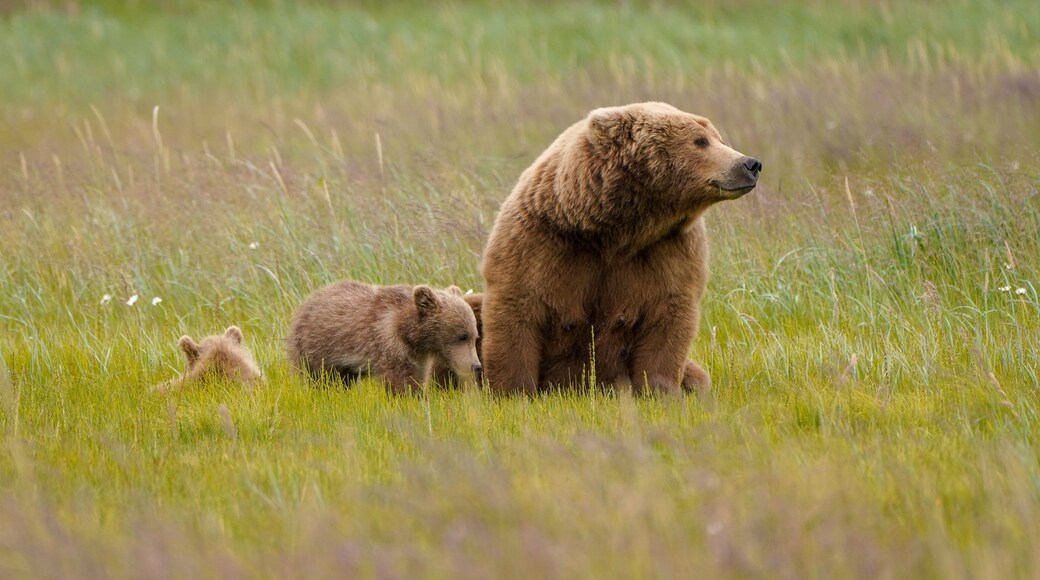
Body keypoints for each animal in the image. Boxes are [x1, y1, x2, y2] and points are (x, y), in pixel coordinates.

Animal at [286, 281, 481, 394]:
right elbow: (401, 379)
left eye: (475, 336)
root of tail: (308, 301)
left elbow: (418, 376)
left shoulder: (419, 355)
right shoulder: (387, 342)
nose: (476, 365)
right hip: (316, 346)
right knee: (319, 377)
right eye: (462, 336)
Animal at [480, 102, 760, 395]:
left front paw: (660, 390)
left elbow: (668, 317)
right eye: (700, 140)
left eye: (719, 138)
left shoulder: (669, 249)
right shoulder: (542, 240)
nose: (751, 163)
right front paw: (514, 390)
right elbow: (518, 306)